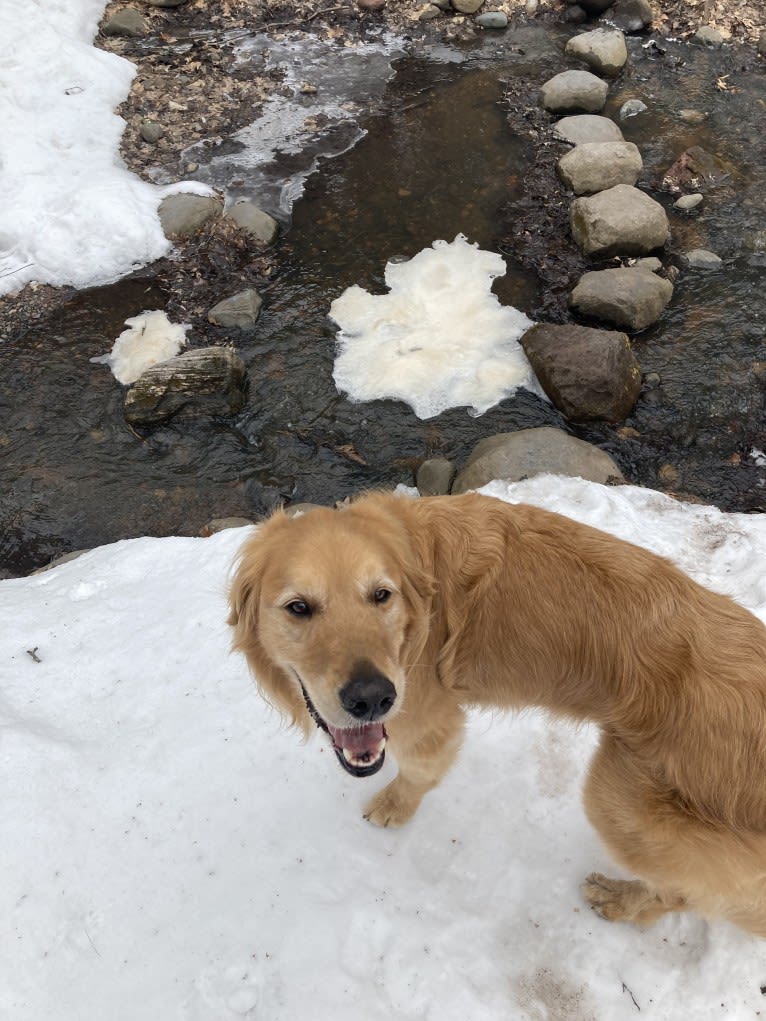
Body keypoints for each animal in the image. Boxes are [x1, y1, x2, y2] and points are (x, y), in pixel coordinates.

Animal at [229, 490, 766, 935]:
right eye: (299, 607)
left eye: (381, 595)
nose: (373, 698)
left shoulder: (427, 717)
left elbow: (418, 772)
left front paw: (393, 807)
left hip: (623, 799)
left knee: (684, 892)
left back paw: (620, 901)